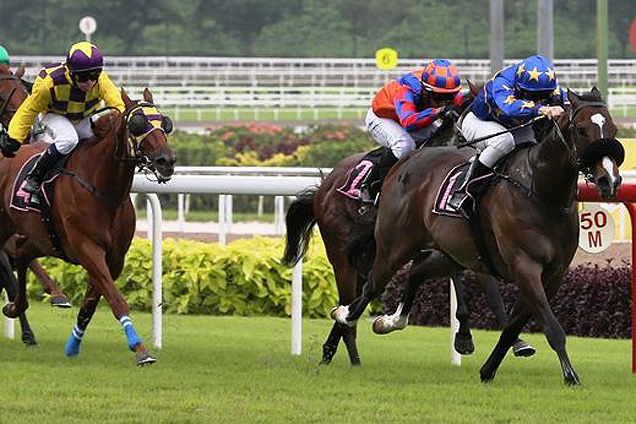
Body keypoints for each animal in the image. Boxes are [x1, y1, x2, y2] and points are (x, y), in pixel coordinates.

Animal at [0, 87, 175, 364]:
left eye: (165, 124)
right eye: (137, 123)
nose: (166, 161)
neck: (103, 189)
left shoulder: (114, 257)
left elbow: (91, 303)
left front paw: (73, 345)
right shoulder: (87, 248)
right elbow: (115, 298)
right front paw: (140, 348)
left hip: (44, 237)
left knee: (23, 254)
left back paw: (17, 305)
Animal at [332, 88, 620, 386]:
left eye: (613, 129)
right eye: (582, 129)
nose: (609, 180)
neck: (540, 191)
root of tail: (404, 163)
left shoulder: (554, 274)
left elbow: (513, 326)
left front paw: (489, 369)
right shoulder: (525, 266)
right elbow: (552, 328)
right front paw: (570, 375)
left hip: (449, 254)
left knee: (417, 271)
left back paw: (390, 321)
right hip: (396, 244)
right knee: (372, 285)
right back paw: (345, 316)